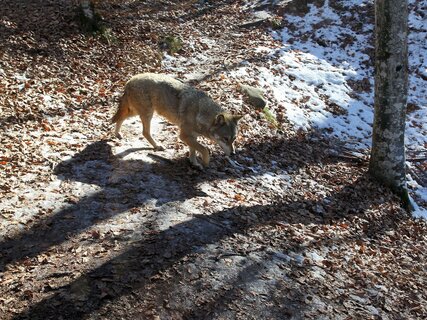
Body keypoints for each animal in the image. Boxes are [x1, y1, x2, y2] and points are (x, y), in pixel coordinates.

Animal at [111, 73, 244, 169]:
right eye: (225, 139)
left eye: (234, 139)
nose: (233, 154)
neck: (200, 113)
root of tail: (130, 80)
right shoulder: (184, 136)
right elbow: (205, 149)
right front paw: (205, 163)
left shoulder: (192, 136)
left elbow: (193, 151)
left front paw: (194, 163)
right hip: (147, 113)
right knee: (144, 132)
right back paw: (157, 146)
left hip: (136, 112)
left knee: (121, 118)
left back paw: (118, 134)